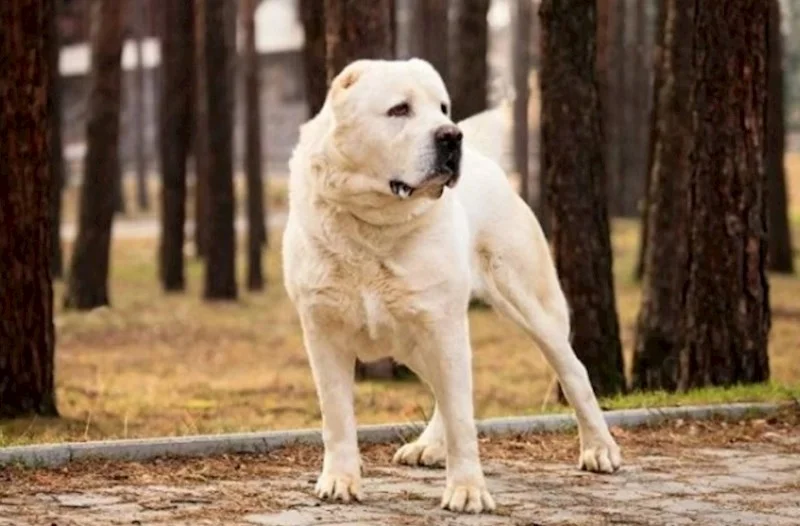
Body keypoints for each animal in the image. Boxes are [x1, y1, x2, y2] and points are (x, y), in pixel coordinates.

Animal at [282, 58, 624, 516]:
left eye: (442, 107)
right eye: (399, 110)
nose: (450, 134)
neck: (374, 226)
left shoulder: (442, 326)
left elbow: (462, 417)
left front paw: (467, 491)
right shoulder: (324, 332)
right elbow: (336, 416)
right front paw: (339, 480)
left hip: (529, 305)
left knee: (573, 372)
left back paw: (599, 449)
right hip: (413, 339)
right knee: (444, 392)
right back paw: (427, 446)